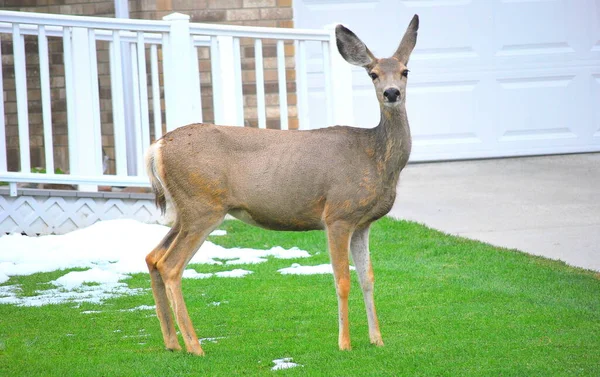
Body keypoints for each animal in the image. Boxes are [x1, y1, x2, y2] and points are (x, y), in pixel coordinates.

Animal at [144, 15, 418, 356]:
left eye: (405, 71)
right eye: (373, 74)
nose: (391, 93)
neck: (376, 157)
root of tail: (157, 147)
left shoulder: (363, 222)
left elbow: (367, 277)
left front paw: (377, 339)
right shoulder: (338, 214)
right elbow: (342, 280)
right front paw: (344, 344)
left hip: (186, 209)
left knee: (153, 257)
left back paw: (172, 343)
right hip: (203, 205)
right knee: (171, 265)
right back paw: (195, 347)